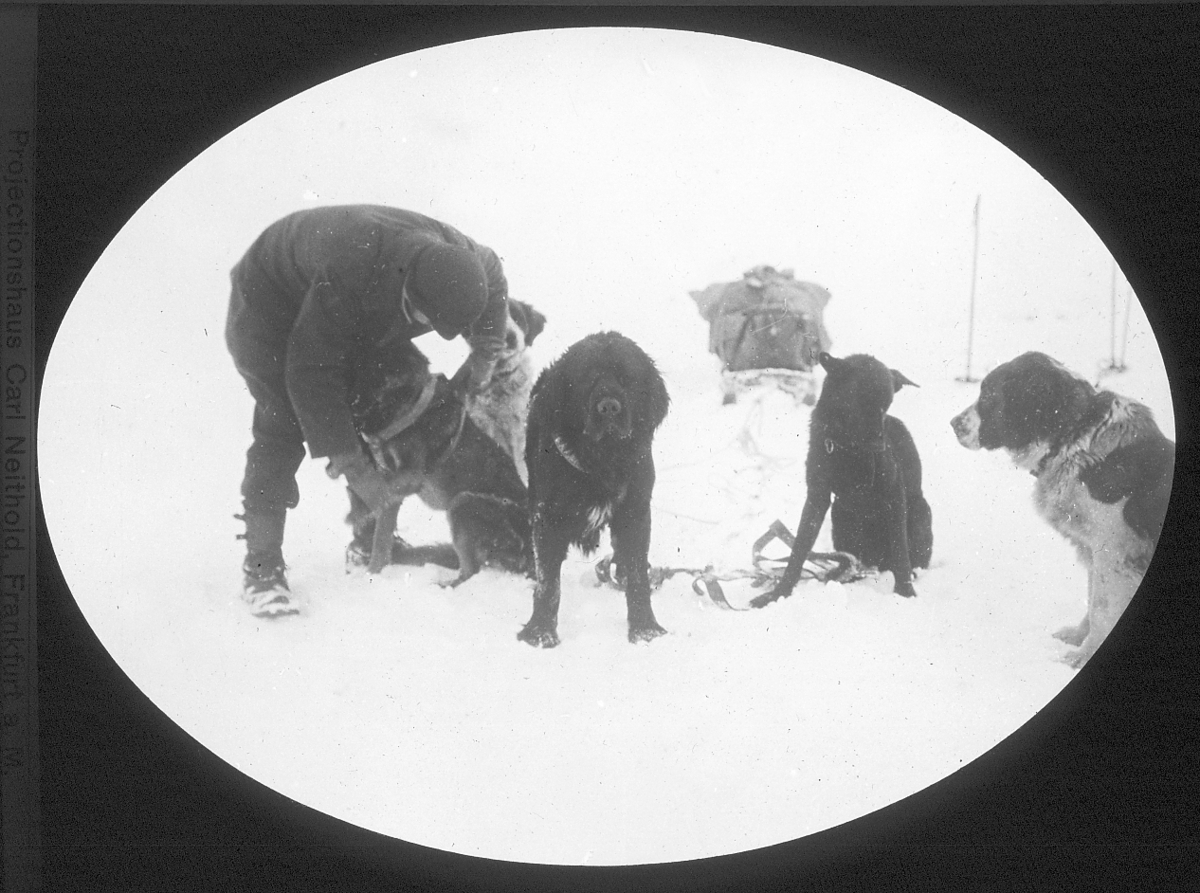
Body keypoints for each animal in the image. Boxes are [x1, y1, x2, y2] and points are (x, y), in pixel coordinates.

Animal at [520, 331, 676, 643]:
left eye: (627, 377)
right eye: (586, 378)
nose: (609, 407)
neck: (602, 461)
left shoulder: (635, 512)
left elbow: (637, 574)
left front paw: (645, 629)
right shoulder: (547, 518)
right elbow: (549, 583)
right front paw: (540, 633)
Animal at [748, 350, 936, 607]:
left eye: (886, 406)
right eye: (861, 401)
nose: (879, 445)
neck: (847, 449)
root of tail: (875, 562)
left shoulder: (894, 495)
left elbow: (900, 551)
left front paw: (905, 592)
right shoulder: (817, 497)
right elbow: (798, 550)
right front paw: (778, 593)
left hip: (919, 511)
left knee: (909, 559)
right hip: (840, 517)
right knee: (849, 560)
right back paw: (839, 573)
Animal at [950, 352, 1176, 667]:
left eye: (989, 396)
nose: (953, 423)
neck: (1072, 439)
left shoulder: (1114, 553)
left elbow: (1101, 608)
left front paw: (1084, 655)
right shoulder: (1094, 550)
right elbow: (1092, 600)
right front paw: (1079, 638)